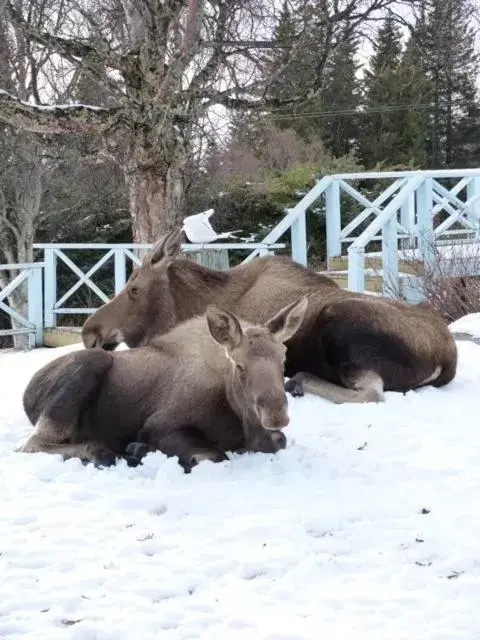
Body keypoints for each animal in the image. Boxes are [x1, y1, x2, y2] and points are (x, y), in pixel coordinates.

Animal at [19, 298, 308, 470]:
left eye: (283, 360)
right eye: (239, 365)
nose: (276, 414)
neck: (241, 421)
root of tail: (27, 393)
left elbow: (279, 441)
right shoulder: (159, 425)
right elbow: (212, 454)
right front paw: (140, 448)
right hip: (92, 363)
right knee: (30, 445)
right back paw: (103, 452)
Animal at [81, 228, 458, 402]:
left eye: (134, 288)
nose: (89, 331)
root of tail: (445, 357)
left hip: (344, 326)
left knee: (371, 391)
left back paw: (299, 380)